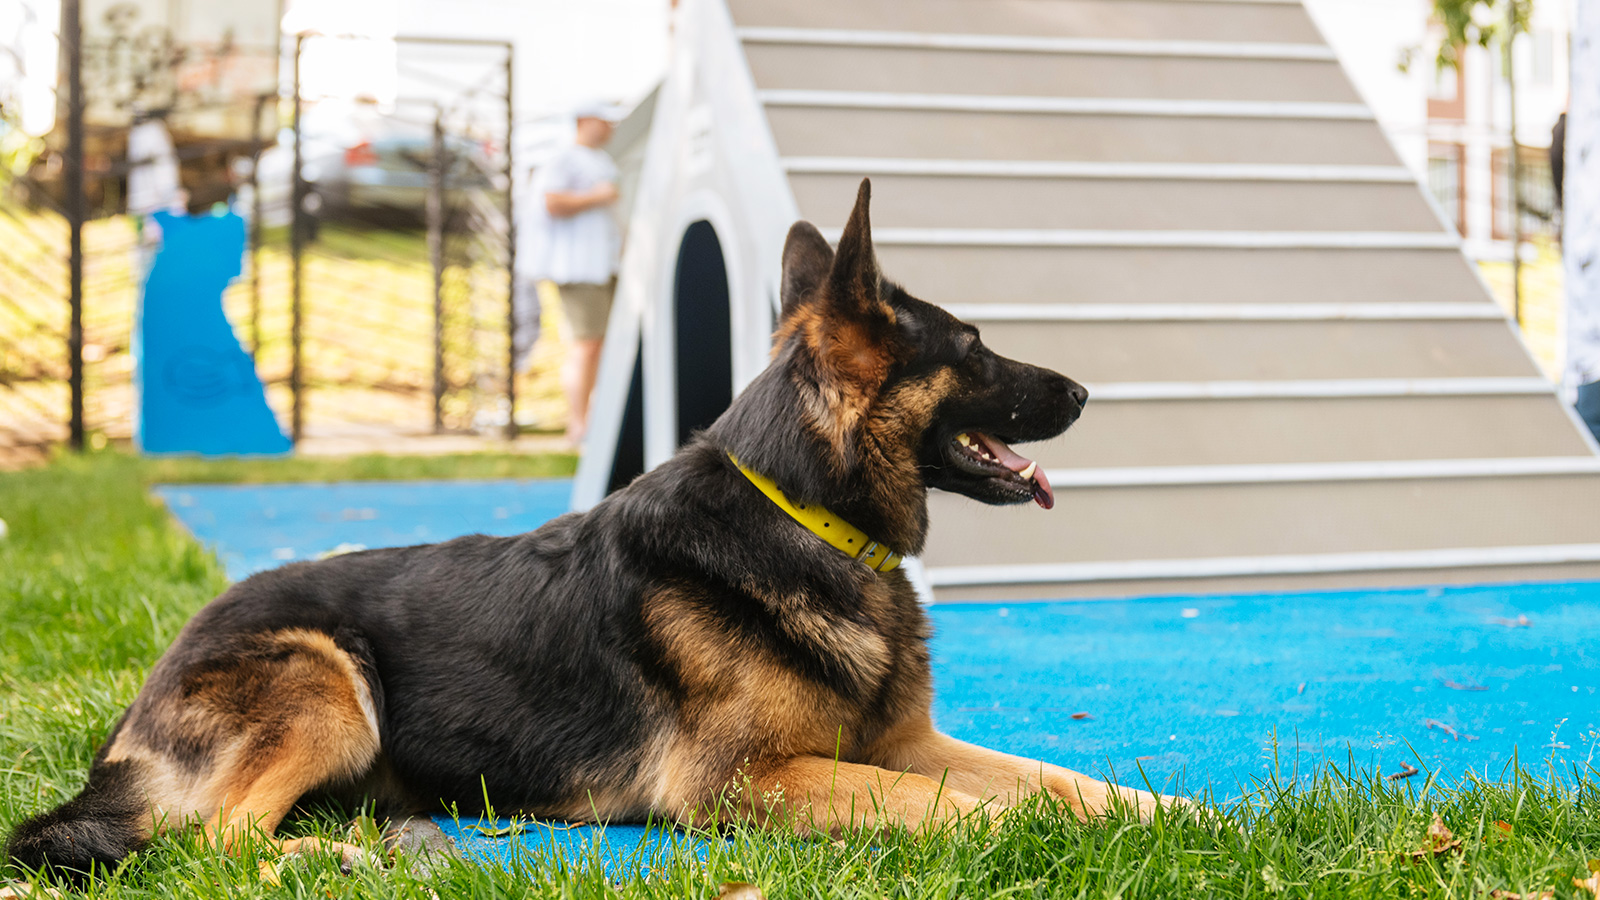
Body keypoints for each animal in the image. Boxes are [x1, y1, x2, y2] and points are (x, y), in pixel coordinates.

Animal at [6, 179, 1172, 884]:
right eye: (972, 349)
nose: (1081, 391)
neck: (806, 519)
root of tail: (146, 691)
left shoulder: (906, 741)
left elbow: (1060, 781)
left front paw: (1176, 816)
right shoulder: (748, 783)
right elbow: (952, 804)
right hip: (328, 679)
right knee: (209, 842)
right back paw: (326, 864)